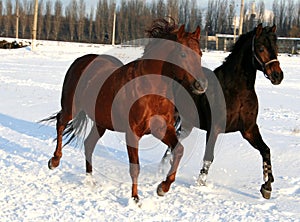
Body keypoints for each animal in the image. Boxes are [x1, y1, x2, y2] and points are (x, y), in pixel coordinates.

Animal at [44, 19, 207, 203]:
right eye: (183, 54)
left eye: (200, 54)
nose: (201, 85)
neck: (151, 89)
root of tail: (80, 61)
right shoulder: (132, 133)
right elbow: (135, 167)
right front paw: (135, 198)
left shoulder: (161, 129)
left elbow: (178, 150)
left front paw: (162, 188)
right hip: (71, 108)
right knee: (60, 123)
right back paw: (54, 161)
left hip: (101, 123)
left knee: (88, 144)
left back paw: (90, 181)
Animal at [164, 23, 284, 199]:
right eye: (261, 48)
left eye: (276, 47)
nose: (277, 76)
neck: (237, 92)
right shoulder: (214, 129)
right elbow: (208, 157)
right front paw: (201, 184)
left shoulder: (248, 130)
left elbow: (266, 150)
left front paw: (267, 187)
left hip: (188, 123)